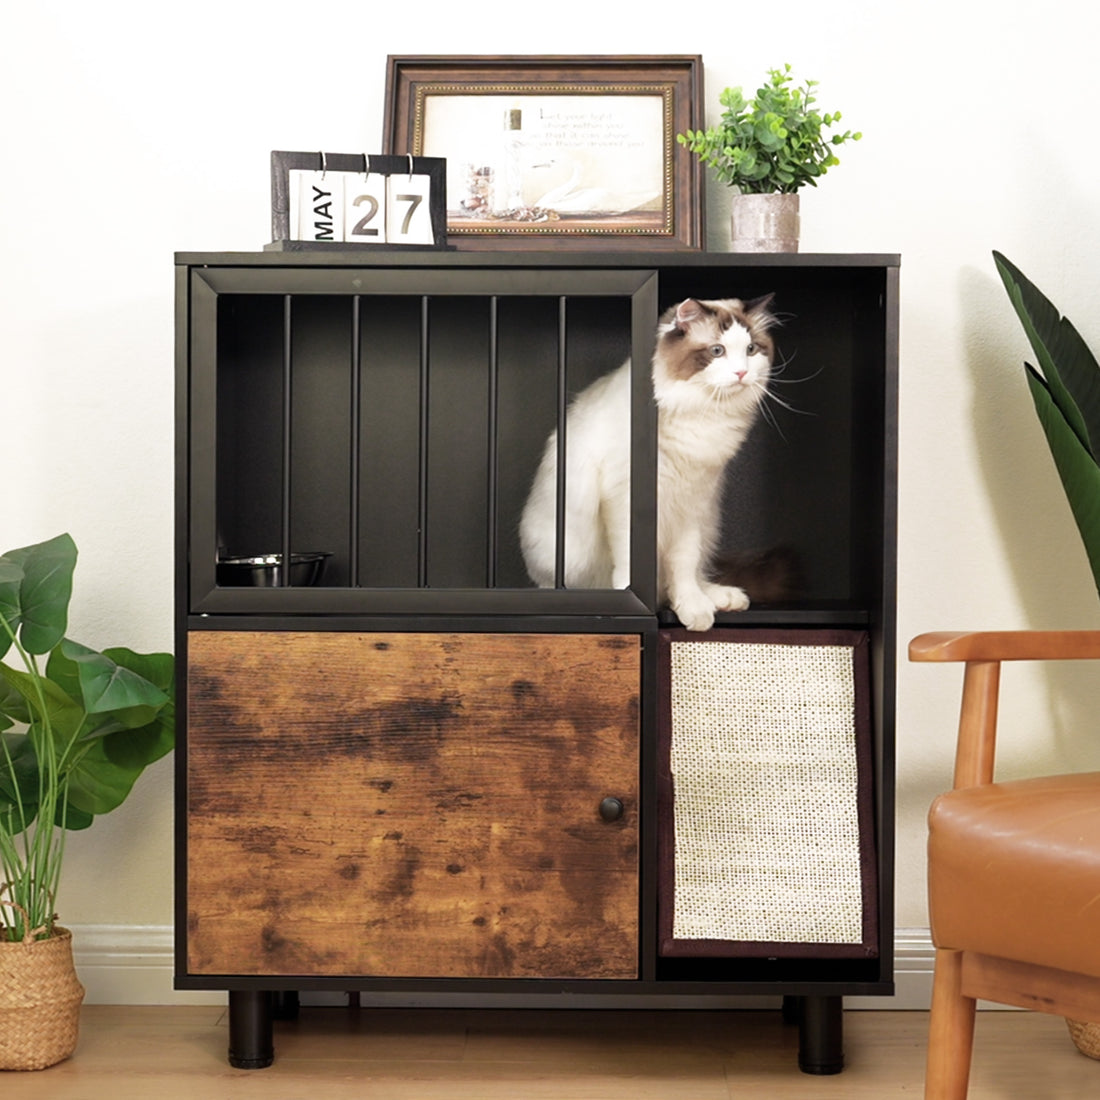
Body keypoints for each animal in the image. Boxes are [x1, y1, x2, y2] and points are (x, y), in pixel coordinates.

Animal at [519, 297, 778, 633]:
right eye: (717, 351)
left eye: (751, 349)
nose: (742, 373)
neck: (702, 413)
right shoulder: (626, 497)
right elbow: (633, 560)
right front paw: (631, 598)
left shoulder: (691, 500)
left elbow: (684, 566)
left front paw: (693, 608)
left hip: (707, 521)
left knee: (687, 578)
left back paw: (721, 598)